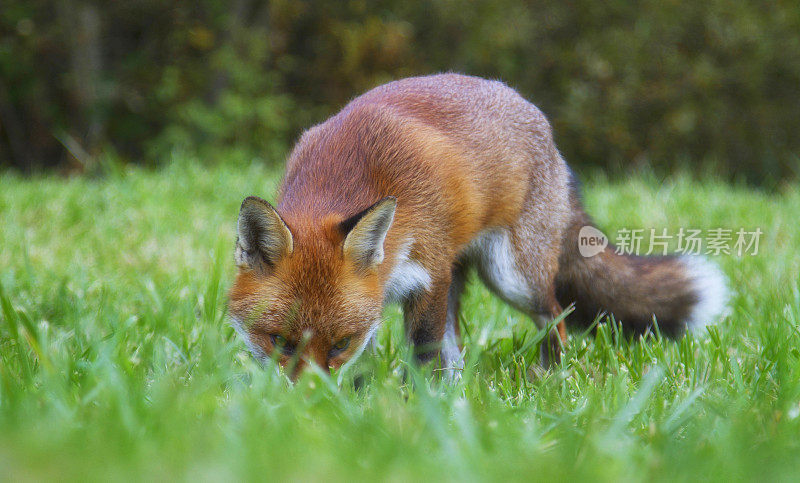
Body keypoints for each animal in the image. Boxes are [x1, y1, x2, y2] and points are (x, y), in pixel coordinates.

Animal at [227, 73, 732, 380]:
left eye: (339, 345)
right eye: (278, 341)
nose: (309, 404)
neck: (346, 175)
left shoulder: (426, 274)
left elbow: (423, 351)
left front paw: (415, 405)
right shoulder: (397, 294)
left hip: (512, 276)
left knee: (557, 317)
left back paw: (549, 379)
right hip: (465, 274)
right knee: (460, 346)